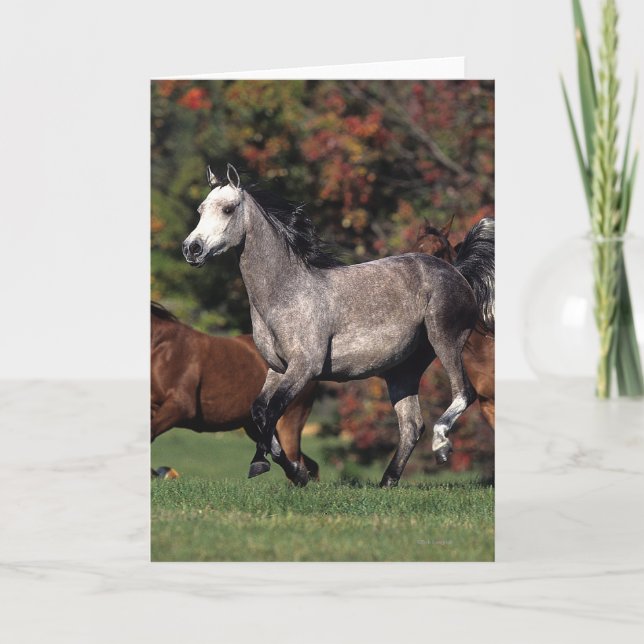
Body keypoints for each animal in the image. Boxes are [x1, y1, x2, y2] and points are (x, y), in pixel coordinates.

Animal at [150, 302, 319, 484]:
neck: (162, 348)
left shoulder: (181, 406)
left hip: (289, 421)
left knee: (296, 461)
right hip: (258, 429)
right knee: (306, 464)